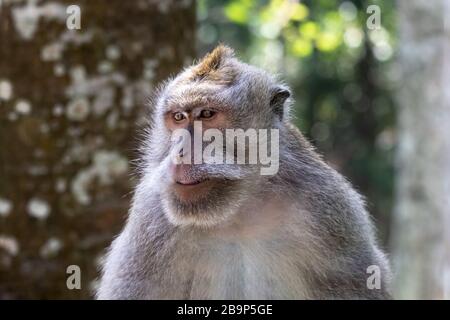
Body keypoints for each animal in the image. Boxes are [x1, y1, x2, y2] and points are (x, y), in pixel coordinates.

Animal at [96, 43, 392, 298]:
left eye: (207, 114)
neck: (238, 210)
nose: (181, 152)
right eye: (178, 117)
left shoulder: (330, 209)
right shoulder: (151, 217)